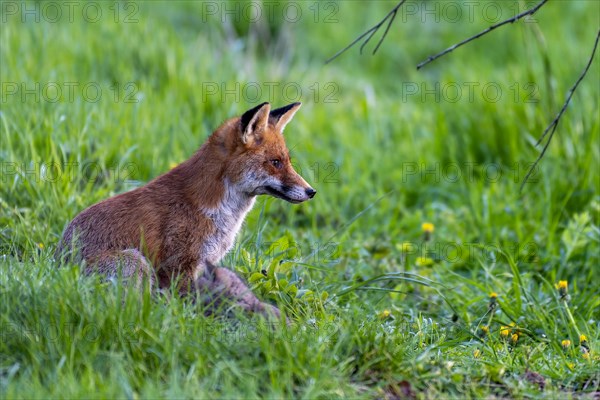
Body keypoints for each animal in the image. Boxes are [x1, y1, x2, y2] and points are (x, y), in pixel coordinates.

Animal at [56, 102, 316, 318]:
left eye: (287, 161)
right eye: (275, 163)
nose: (311, 191)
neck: (217, 210)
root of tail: (56, 265)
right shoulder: (177, 266)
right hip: (135, 262)